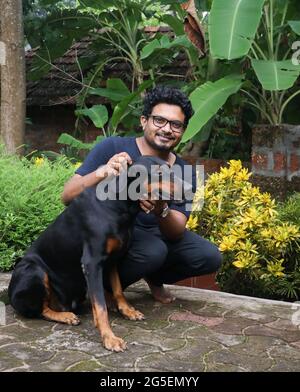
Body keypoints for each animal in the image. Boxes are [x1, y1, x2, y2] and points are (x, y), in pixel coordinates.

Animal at [7, 156, 180, 352]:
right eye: (158, 172)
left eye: (171, 169)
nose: (189, 188)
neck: (119, 205)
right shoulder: (92, 262)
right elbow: (100, 307)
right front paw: (109, 338)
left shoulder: (113, 259)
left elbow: (118, 289)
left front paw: (127, 310)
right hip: (34, 270)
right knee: (41, 309)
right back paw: (66, 316)